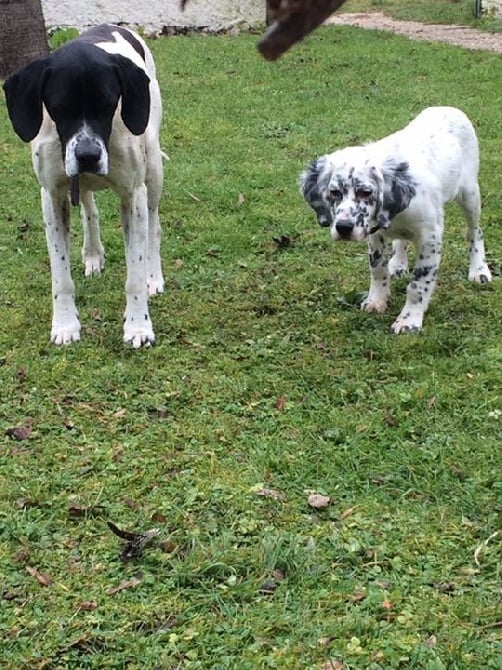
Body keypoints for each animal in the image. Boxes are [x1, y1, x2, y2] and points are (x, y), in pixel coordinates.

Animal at [3, 23, 165, 350]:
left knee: (154, 227)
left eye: (108, 104)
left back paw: (155, 277)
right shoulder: (52, 197)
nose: (88, 156)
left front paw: (138, 326)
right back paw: (92, 254)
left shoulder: (133, 196)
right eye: (58, 108)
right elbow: (60, 275)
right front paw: (65, 324)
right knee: (90, 211)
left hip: (153, 167)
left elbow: (134, 274)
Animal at [300, 107, 492, 336]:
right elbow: (377, 269)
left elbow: (419, 283)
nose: (343, 228)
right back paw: (399, 264)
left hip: (469, 194)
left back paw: (479, 269)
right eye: (334, 193)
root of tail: (447, 107)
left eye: (365, 192)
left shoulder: (430, 236)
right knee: (402, 239)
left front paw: (409, 320)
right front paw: (377, 300)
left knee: (474, 232)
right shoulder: (374, 234)